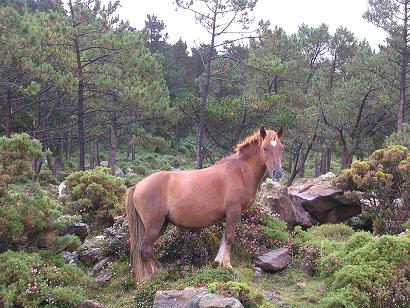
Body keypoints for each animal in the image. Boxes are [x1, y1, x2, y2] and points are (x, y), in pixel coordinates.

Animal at [126, 126, 284, 286]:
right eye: (265, 148)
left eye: (281, 148)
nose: (278, 173)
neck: (240, 171)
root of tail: (137, 186)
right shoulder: (233, 211)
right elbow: (229, 237)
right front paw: (227, 264)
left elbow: (224, 237)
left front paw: (218, 261)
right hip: (154, 224)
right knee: (145, 250)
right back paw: (154, 276)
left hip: (161, 224)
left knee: (146, 249)